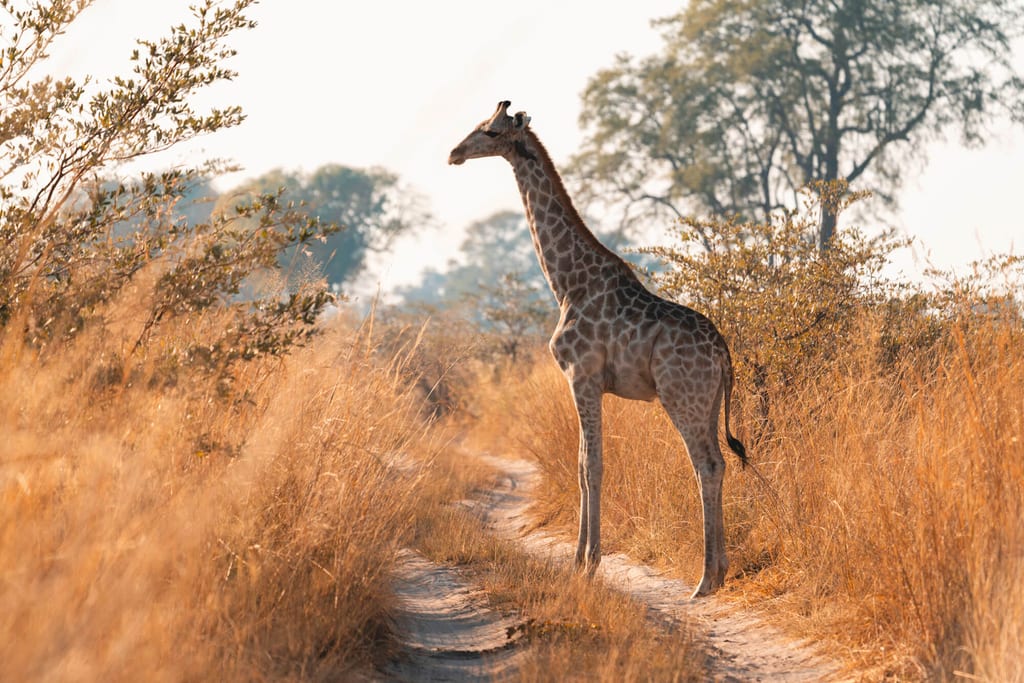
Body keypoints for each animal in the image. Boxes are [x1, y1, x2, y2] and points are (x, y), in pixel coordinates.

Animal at [448, 101, 747, 597]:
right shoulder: (587, 382)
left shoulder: (581, 376)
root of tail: (724, 353)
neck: (567, 283)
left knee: (705, 464)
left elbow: (591, 465)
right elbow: (583, 464)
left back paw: (705, 580)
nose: (454, 153)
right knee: (719, 463)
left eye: (489, 131)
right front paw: (580, 561)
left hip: (681, 397)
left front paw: (586, 563)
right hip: (706, 402)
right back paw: (720, 572)